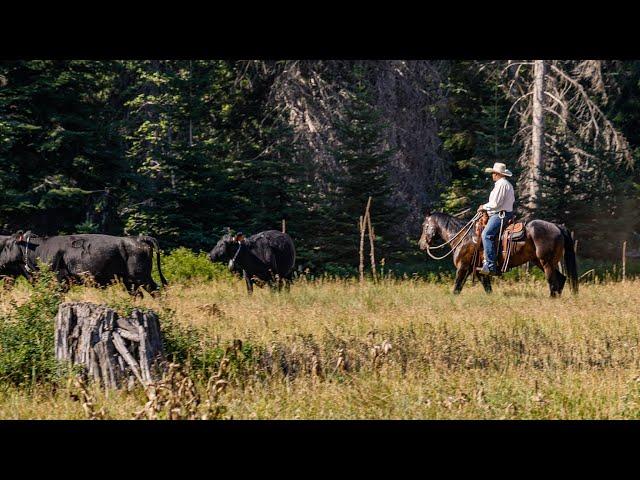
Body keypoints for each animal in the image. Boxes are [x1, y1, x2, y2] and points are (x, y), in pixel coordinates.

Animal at [0, 232, 168, 294]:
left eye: (7, 246)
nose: (0, 261)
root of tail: (139, 238)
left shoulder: (59, 282)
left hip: (141, 277)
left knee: (156, 290)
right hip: (130, 281)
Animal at [418, 211, 576, 296]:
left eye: (424, 225)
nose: (421, 244)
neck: (463, 237)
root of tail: (557, 226)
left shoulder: (463, 267)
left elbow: (457, 287)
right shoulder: (479, 271)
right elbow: (487, 288)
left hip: (546, 262)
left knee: (552, 281)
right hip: (541, 262)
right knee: (561, 279)